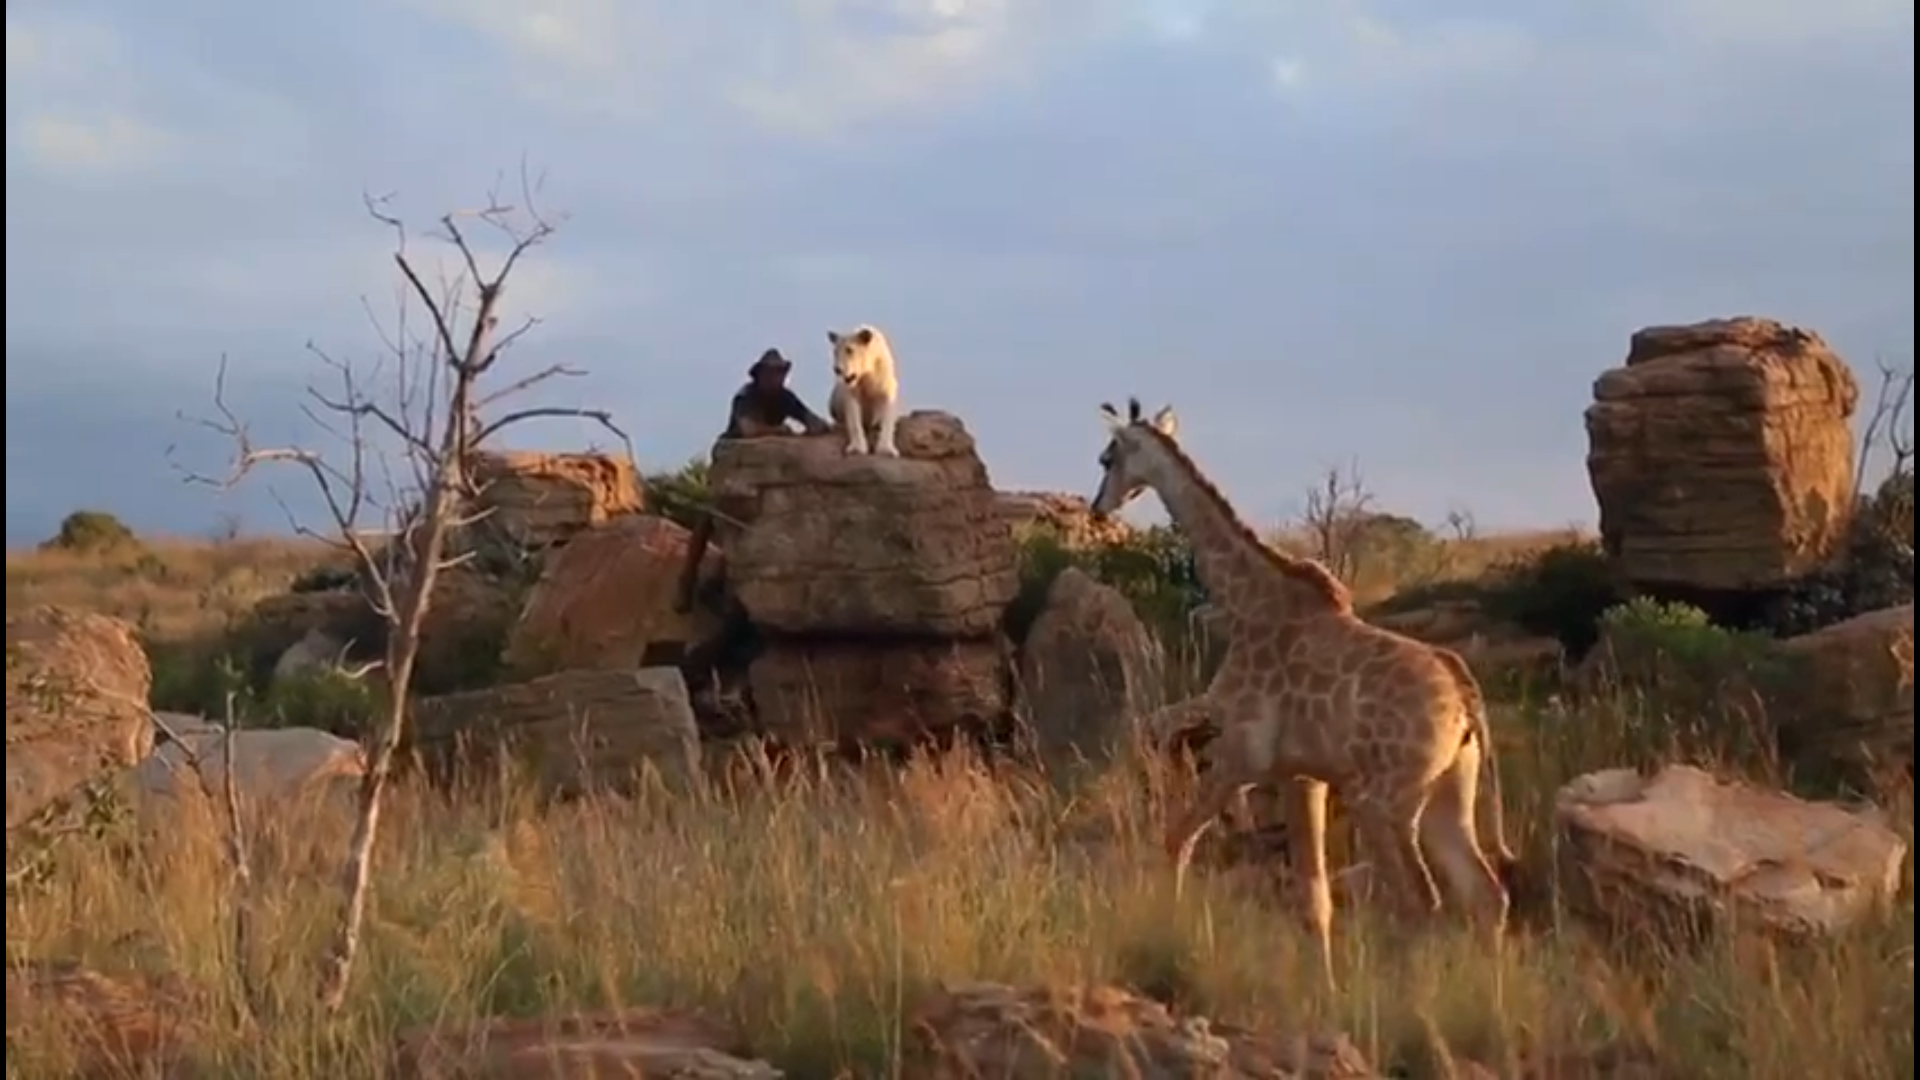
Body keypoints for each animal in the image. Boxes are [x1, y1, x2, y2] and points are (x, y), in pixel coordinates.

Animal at [826, 324, 902, 457]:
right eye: (835, 352)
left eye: (849, 350)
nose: (837, 369)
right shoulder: (851, 389)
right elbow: (854, 416)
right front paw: (857, 449)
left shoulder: (885, 379)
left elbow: (888, 411)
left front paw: (886, 450)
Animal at [1088, 398, 1516, 990]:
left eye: (1107, 457)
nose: (1097, 509)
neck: (1245, 602)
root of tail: (1464, 694)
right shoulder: (1301, 774)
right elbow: (1314, 900)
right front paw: (1325, 990)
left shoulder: (1242, 754)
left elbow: (1177, 838)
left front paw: (1171, 926)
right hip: (1450, 792)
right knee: (1485, 895)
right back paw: (1491, 1000)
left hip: (1384, 800)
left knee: (1421, 899)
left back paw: (1412, 995)